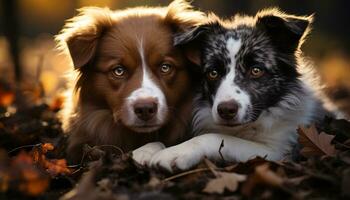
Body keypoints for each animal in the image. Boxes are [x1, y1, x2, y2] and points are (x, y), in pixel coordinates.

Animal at [132, 7, 344, 170]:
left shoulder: (277, 151)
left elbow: (214, 137)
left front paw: (176, 152)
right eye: (213, 73)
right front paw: (146, 150)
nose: (226, 110)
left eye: (256, 70)